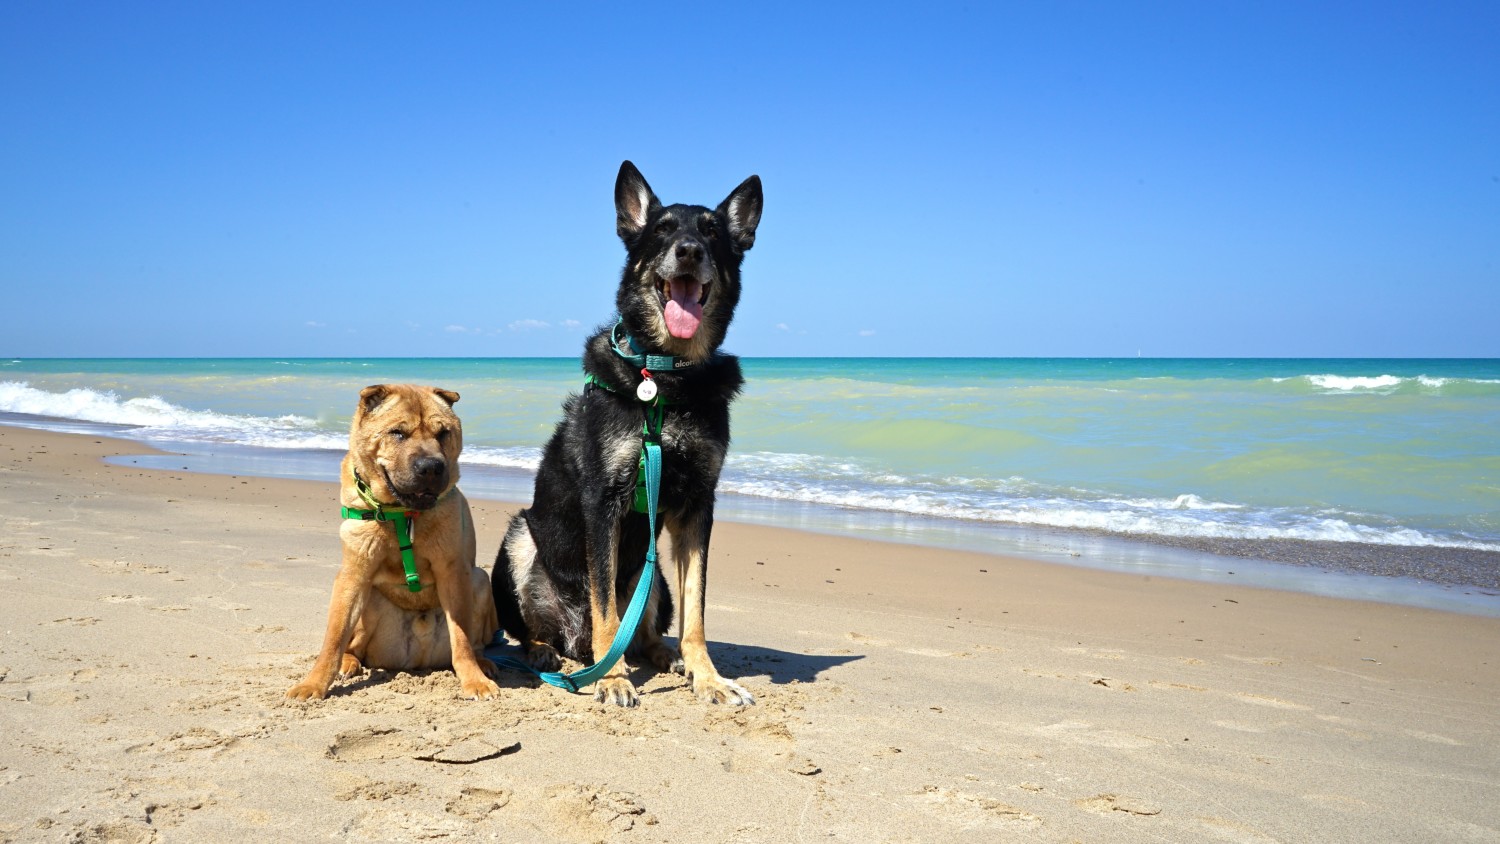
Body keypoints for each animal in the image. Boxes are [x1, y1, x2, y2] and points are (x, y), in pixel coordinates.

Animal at [288, 383, 504, 701]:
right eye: (398, 433)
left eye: (443, 433)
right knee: (353, 646)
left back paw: (483, 663)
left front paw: (474, 680)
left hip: (478, 580)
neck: (402, 515)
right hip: (370, 600)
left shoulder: (453, 571)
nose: (431, 467)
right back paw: (349, 663)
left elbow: (462, 638)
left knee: (473, 642)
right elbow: (334, 638)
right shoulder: (353, 575)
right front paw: (313, 684)